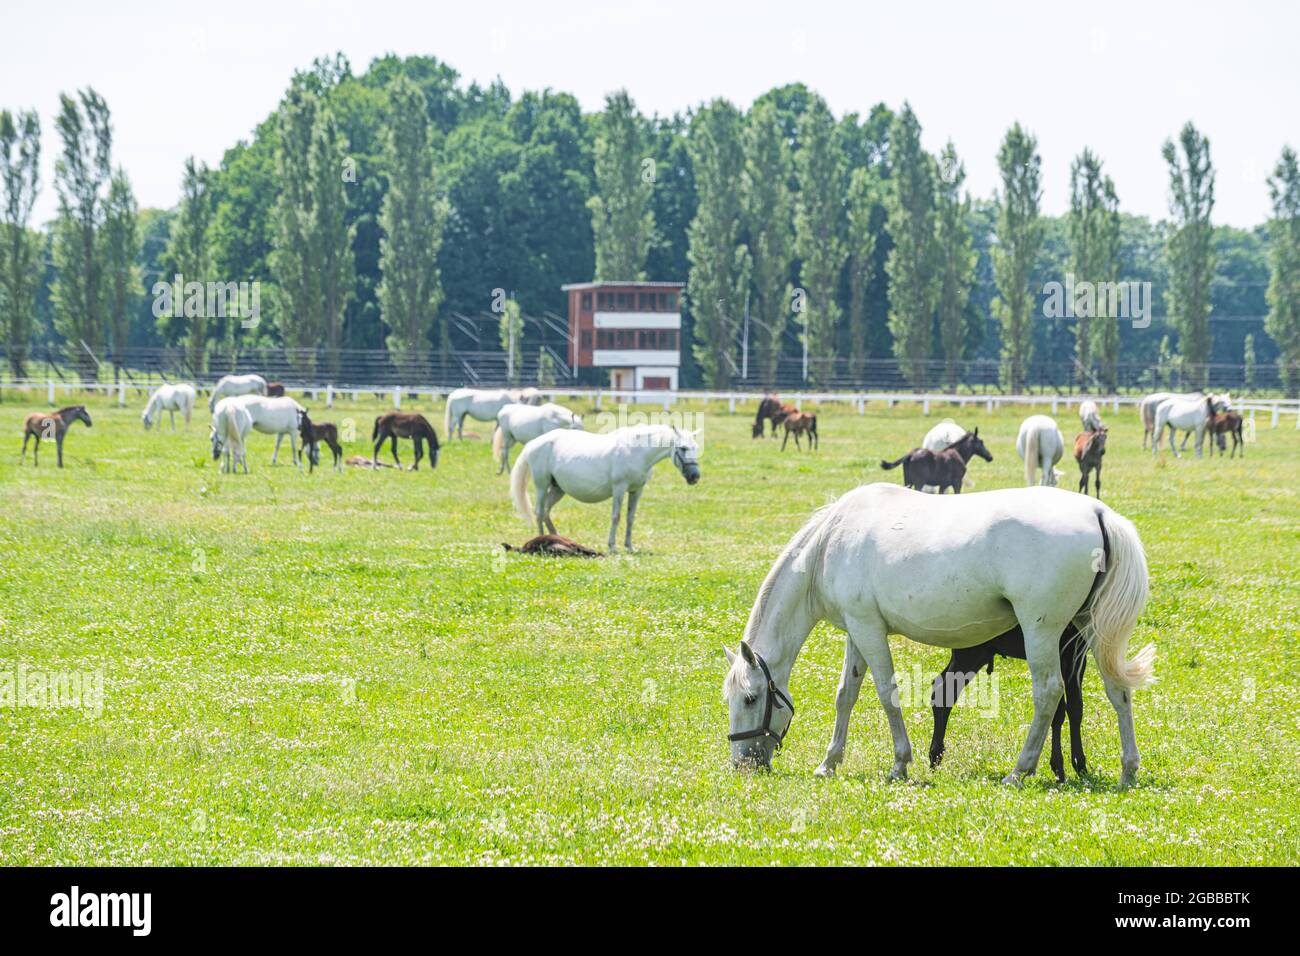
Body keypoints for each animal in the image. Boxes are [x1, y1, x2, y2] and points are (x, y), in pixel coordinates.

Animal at [510, 424, 700, 553]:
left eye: (696, 448)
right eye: (682, 448)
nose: (695, 476)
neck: (637, 451)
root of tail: (534, 442)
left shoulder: (636, 490)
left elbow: (630, 518)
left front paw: (629, 547)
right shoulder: (619, 489)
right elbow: (616, 517)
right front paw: (612, 547)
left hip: (558, 489)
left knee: (546, 511)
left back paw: (557, 538)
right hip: (542, 486)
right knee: (539, 512)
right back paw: (541, 540)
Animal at [929, 623, 1089, 783]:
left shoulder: (1077, 654)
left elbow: (1076, 708)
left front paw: (1080, 764)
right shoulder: (1059, 654)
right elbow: (1058, 714)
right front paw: (1059, 769)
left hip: (978, 653)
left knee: (940, 689)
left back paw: (935, 756)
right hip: (970, 652)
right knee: (943, 692)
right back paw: (935, 757)